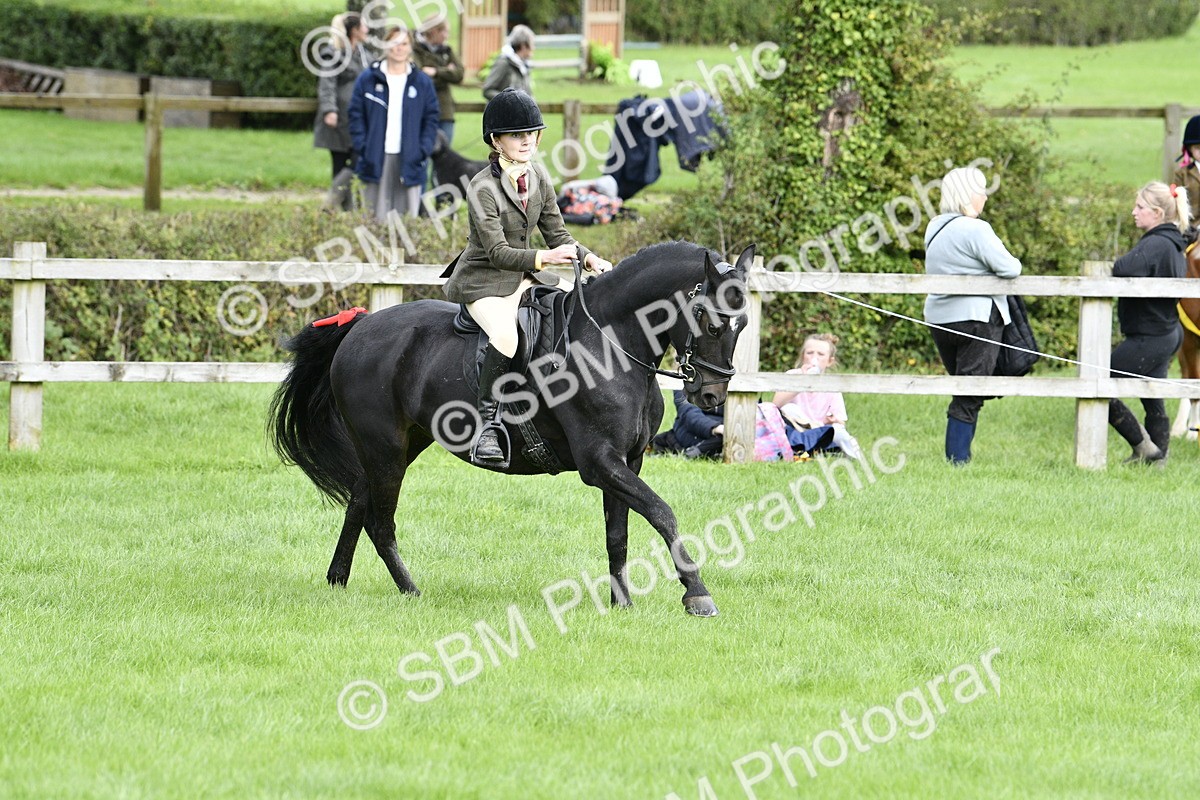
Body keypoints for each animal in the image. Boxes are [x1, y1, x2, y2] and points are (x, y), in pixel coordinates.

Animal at [269, 242, 753, 617]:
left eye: (743, 323)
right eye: (711, 321)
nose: (711, 396)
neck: (610, 346)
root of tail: (359, 326)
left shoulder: (627, 461)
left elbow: (618, 534)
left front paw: (622, 604)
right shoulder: (600, 462)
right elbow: (662, 513)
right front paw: (697, 595)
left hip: (401, 444)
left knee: (358, 504)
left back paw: (338, 579)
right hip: (384, 446)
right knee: (379, 521)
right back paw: (411, 591)